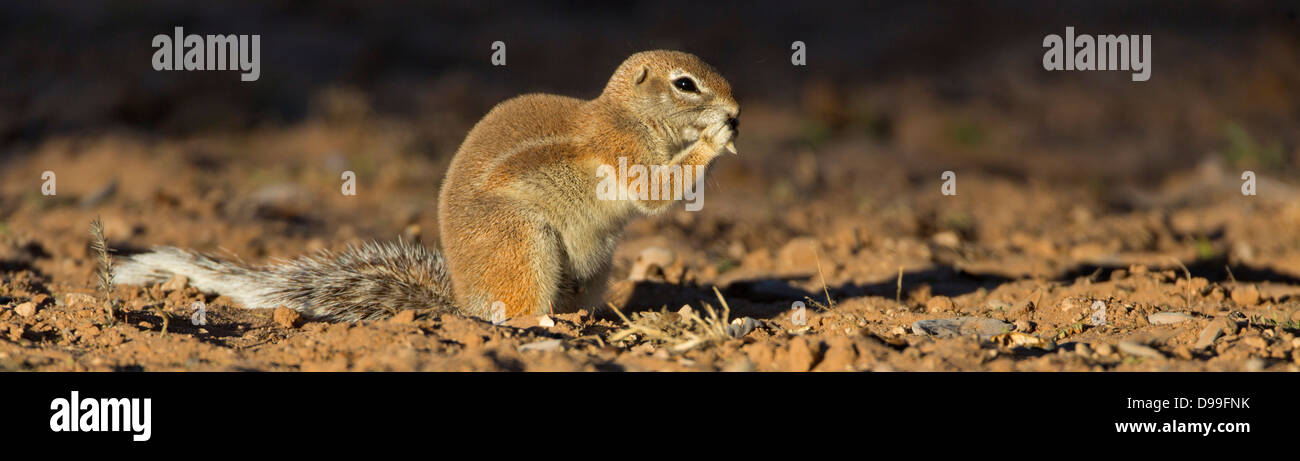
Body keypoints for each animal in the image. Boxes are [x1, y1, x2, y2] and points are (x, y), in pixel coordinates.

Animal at [116, 50, 738, 323]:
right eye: (685, 84)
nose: (736, 111)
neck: (633, 115)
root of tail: (460, 298)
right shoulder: (623, 149)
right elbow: (654, 191)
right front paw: (714, 140)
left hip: (595, 263)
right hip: (521, 240)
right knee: (509, 312)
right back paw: (541, 323)